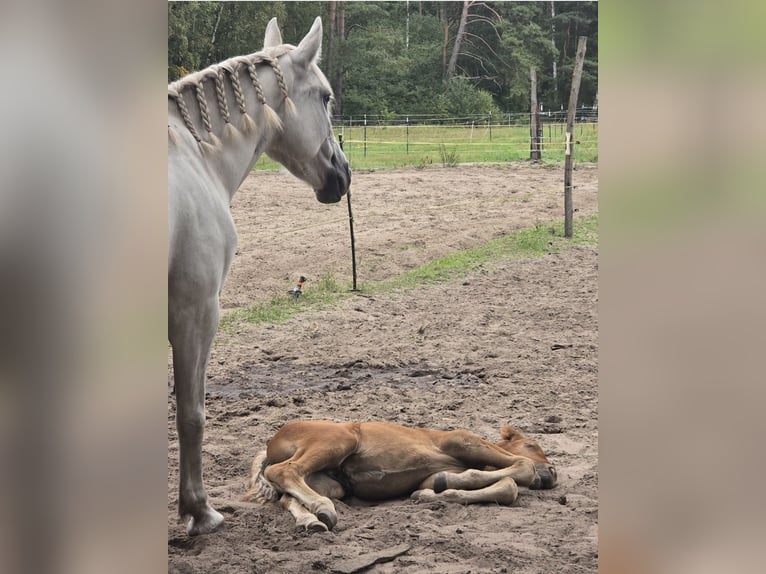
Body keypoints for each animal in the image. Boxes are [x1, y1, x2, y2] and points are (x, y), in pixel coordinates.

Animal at [168, 18, 350, 536]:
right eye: (326, 97)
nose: (343, 172)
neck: (194, 155)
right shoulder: (195, 310)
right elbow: (191, 414)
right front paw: (200, 512)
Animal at [243, 421, 558, 532]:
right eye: (532, 445)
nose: (553, 472)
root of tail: (271, 444)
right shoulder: (462, 440)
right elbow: (521, 469)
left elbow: (505, 485)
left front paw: (436, 490)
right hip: (338, 440)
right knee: (283, 471)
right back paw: (321, 509)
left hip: (327, 482)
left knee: (287, 496)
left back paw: (314, 520)